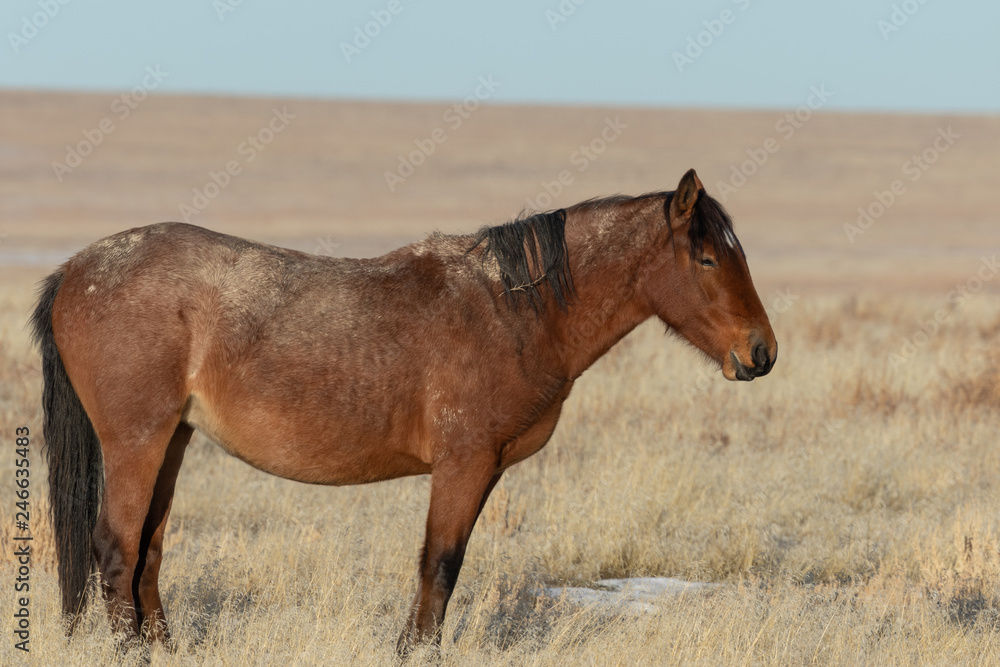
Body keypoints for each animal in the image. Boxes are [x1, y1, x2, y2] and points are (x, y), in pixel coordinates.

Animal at [31, 168, 776, 656]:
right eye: (706, 258)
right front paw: (418, 650)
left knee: (147, 552)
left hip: (174, 440)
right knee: (116, 548)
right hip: (138, 441)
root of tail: (76, 270)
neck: (514, 310)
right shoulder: (463, 464)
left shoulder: (484, 470)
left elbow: (443, 564)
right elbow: (439, 564)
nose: (761, 352)